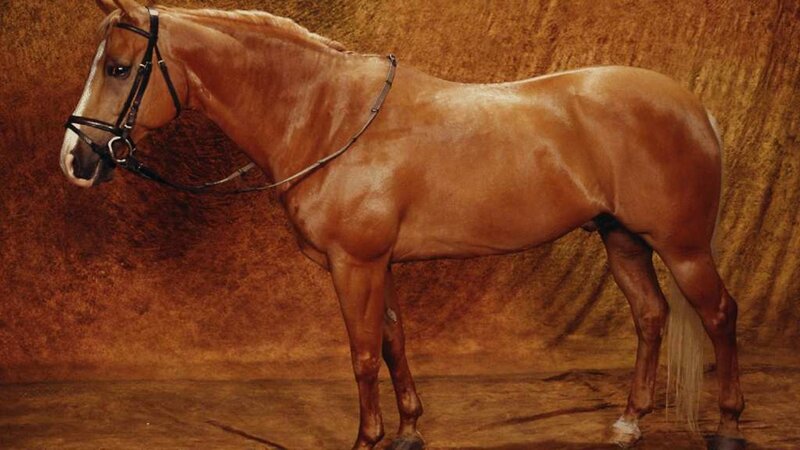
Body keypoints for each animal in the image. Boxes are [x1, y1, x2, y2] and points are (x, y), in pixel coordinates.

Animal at [60, 1, 746, 449]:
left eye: (119, 68)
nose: (76, 160)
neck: (329, 116)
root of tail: (693, 107)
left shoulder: (354, 264)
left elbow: (363, 354)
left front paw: (368, 440)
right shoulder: (378, 264)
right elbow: (393, 342)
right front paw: (410, 430)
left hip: (682, 248)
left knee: (718, 315)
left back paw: (729, 426)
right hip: (622, 240)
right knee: (651, 316)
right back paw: (630, 422)